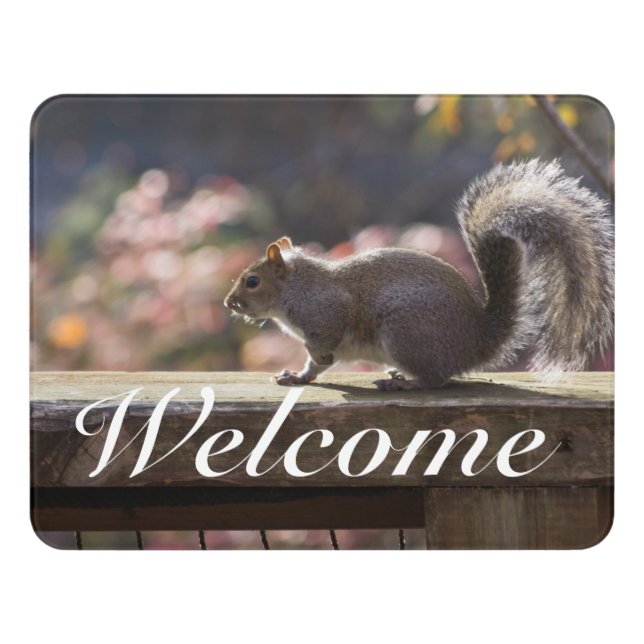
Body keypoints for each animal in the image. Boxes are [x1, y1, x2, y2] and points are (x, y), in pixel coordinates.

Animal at [224, 159, 614, 390]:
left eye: (252, 281)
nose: (230, 303)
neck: (295, 287)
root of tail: (477, 341)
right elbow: (314, 367)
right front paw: (298, 375)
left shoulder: (325, 311)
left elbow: (324, 345)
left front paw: (317, 361)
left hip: (406, 332)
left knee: (435, 380)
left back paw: (404, 383)